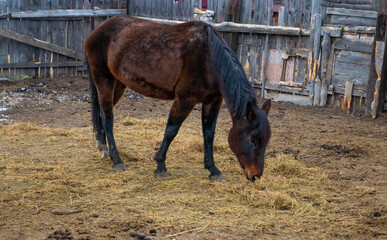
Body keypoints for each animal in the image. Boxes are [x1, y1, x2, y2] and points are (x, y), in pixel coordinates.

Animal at [86, 15, 272, 182]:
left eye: (266, 140)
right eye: (252, 139)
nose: (256, 175)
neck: (210, 59)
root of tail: (95, 32)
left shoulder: (212, 101)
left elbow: (208, 134)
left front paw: (213, 169)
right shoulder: (184, 100)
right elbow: (171, 131)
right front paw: (160, 165)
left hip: (118, 84)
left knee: (101, 115)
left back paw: (103, 148)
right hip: (104, 80)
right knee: (108, 118)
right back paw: (116, 159)